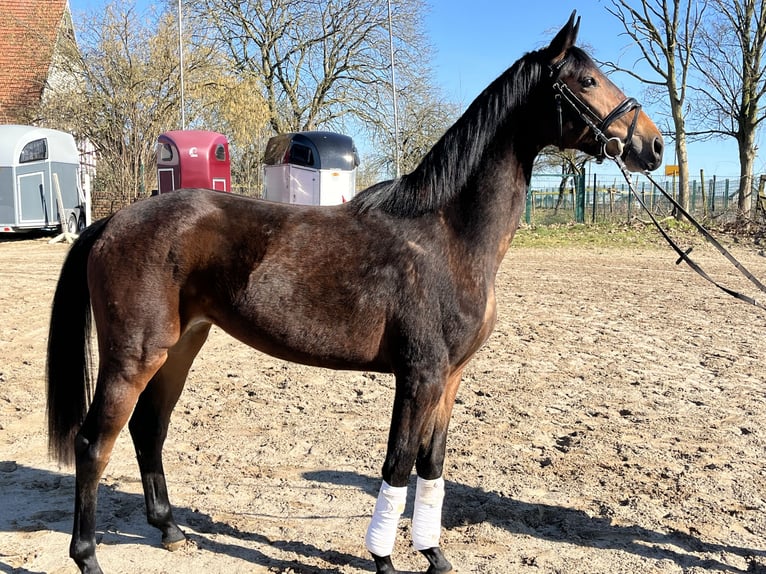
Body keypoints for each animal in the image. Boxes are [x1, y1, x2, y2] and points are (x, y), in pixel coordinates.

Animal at [45, 13, 664, 574]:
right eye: (587, 81)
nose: (653, 146)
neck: (449, 235)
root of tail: (113, 222)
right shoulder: (419, 376)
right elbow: (396, 465)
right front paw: (385, 559)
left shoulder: (449, 379)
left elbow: (432, 465)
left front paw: (434, 555)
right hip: (134, 355)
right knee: (93, 443)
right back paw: (89, 556)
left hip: (180, 346)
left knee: (149, 427)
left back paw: (170, 529)